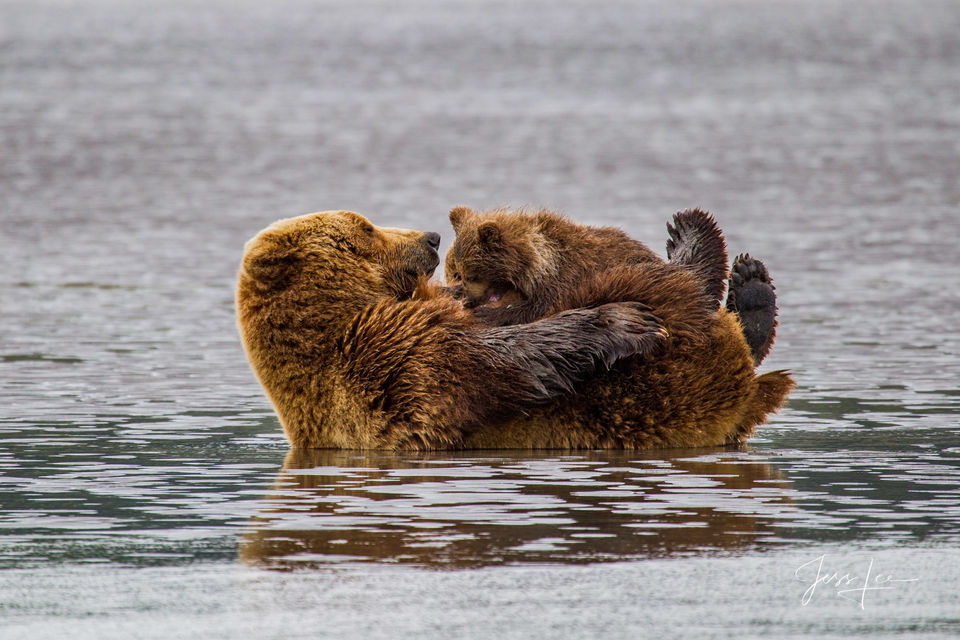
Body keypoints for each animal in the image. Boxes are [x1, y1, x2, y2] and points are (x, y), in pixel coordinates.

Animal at [236, 209, 793, 450]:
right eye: (367, 228)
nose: (430, 237)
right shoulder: (390, 366)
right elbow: (501, 359)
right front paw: (622, 321)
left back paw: (749, 289)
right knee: (676, 297)